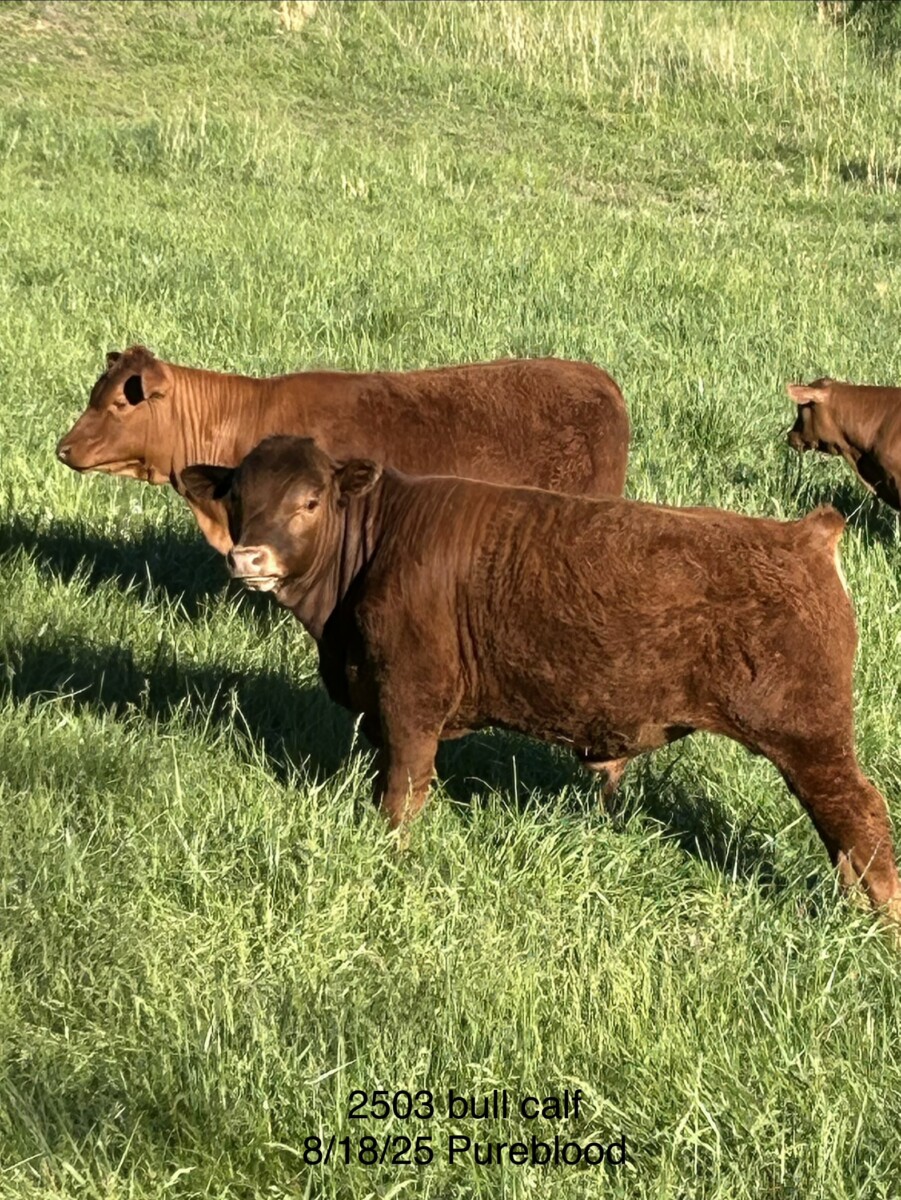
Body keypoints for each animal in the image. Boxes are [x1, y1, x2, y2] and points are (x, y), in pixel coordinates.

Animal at [181, 435, 901, 922]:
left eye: (309, 500)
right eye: (238, 498)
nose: (249, 557)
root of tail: (804, 534)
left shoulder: (410, 699)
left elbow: (401, 796)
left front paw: (394, 860)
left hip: (808, 735)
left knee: (861, 814)